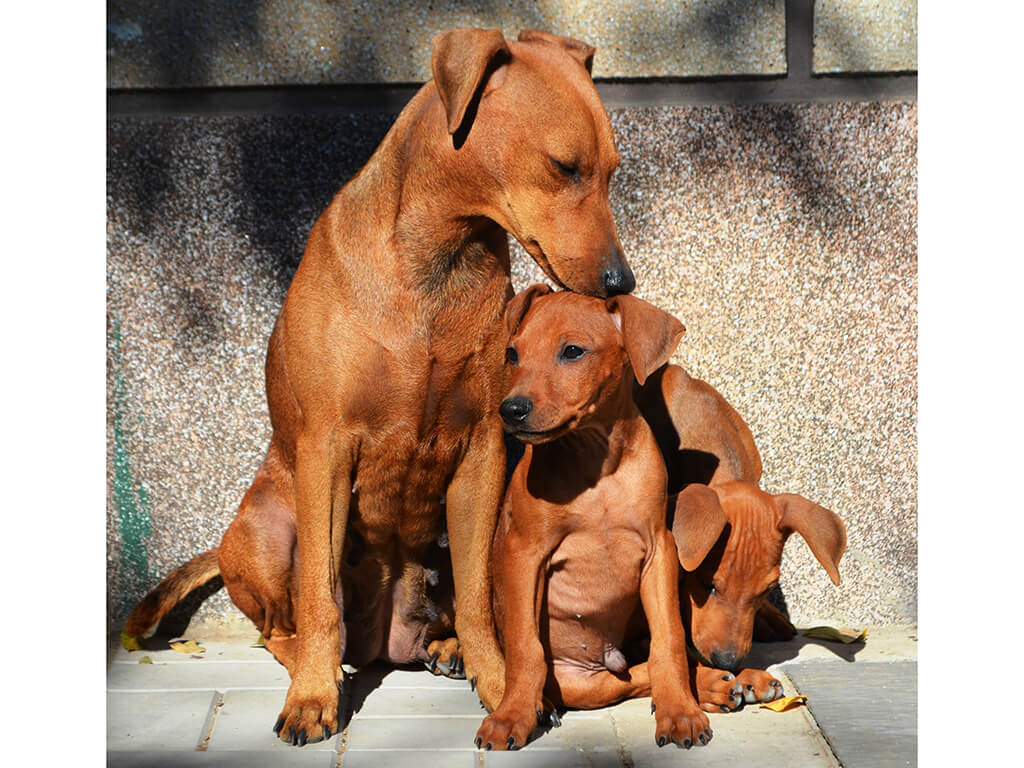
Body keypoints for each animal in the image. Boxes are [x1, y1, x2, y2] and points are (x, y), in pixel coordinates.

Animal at [119, 28, 630, 745]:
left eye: (613, 171)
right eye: (565, 166)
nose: (621, 282)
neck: (441, 257)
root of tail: (388, 645)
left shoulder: (482, 453)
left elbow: (479, 597)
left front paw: (503, 685)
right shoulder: (328, 447)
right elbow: (319, 597)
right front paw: (314, 696)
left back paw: (446, 650)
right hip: (266, 529)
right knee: (284, 625)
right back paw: (318, 667)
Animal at [473, 286, 708, 753]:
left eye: (572, 352)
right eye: (512, 353)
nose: (511, 410)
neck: (598, 462)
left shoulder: (659, 550)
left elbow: (669, 641)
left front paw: (681, 713)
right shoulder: (523, 553)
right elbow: (525, 647)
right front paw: (511, 717)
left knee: (642, 670)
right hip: (580, 685)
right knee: (623, 679)